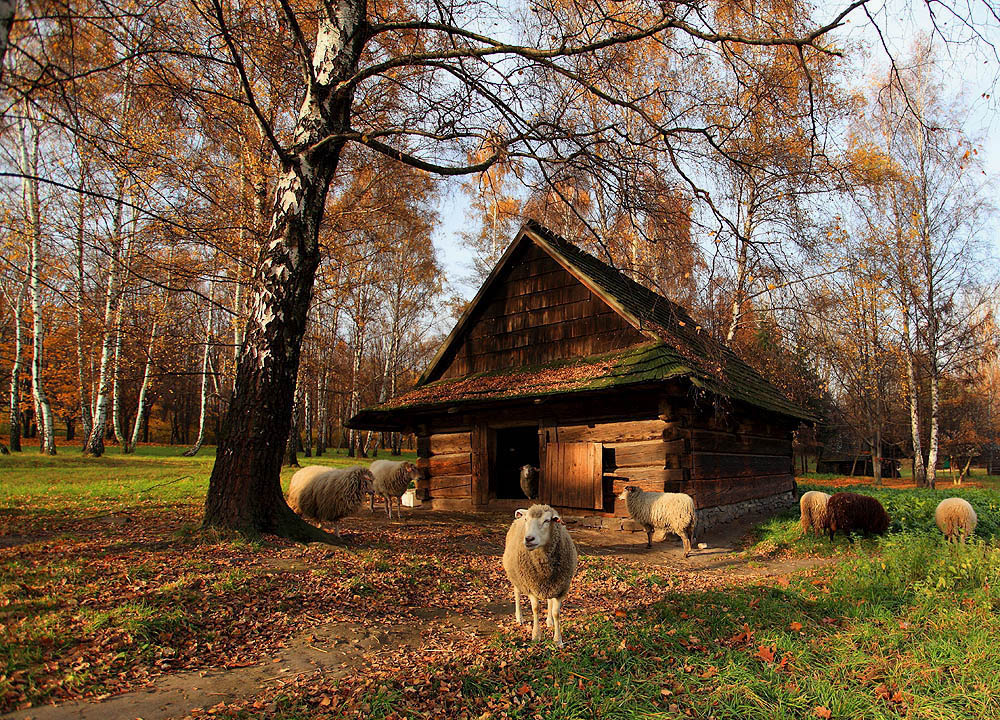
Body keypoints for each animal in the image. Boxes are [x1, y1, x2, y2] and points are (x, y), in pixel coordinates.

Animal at [500, 506, 580, 648]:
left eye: (547, 520)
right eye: (526, 519)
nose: (529, 539)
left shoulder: (560, 588)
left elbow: (556, 613)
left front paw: (558, 640)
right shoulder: (531, 586)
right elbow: (536, 609)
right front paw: (536, 635)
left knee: (549, 601)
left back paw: (549, 621)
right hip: (516, 577)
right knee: (517, 593)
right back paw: (519, 617)